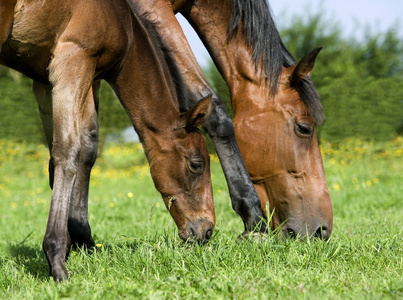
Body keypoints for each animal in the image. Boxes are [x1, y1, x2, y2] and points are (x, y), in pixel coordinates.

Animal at [1, 0, 216, 282]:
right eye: (196, 164)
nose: (207, 231)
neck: (121, 20)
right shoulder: (75, 59)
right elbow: (68, 152)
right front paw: (57, 259)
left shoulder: (44, 81)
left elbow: (60, 158)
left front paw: (73, 244)